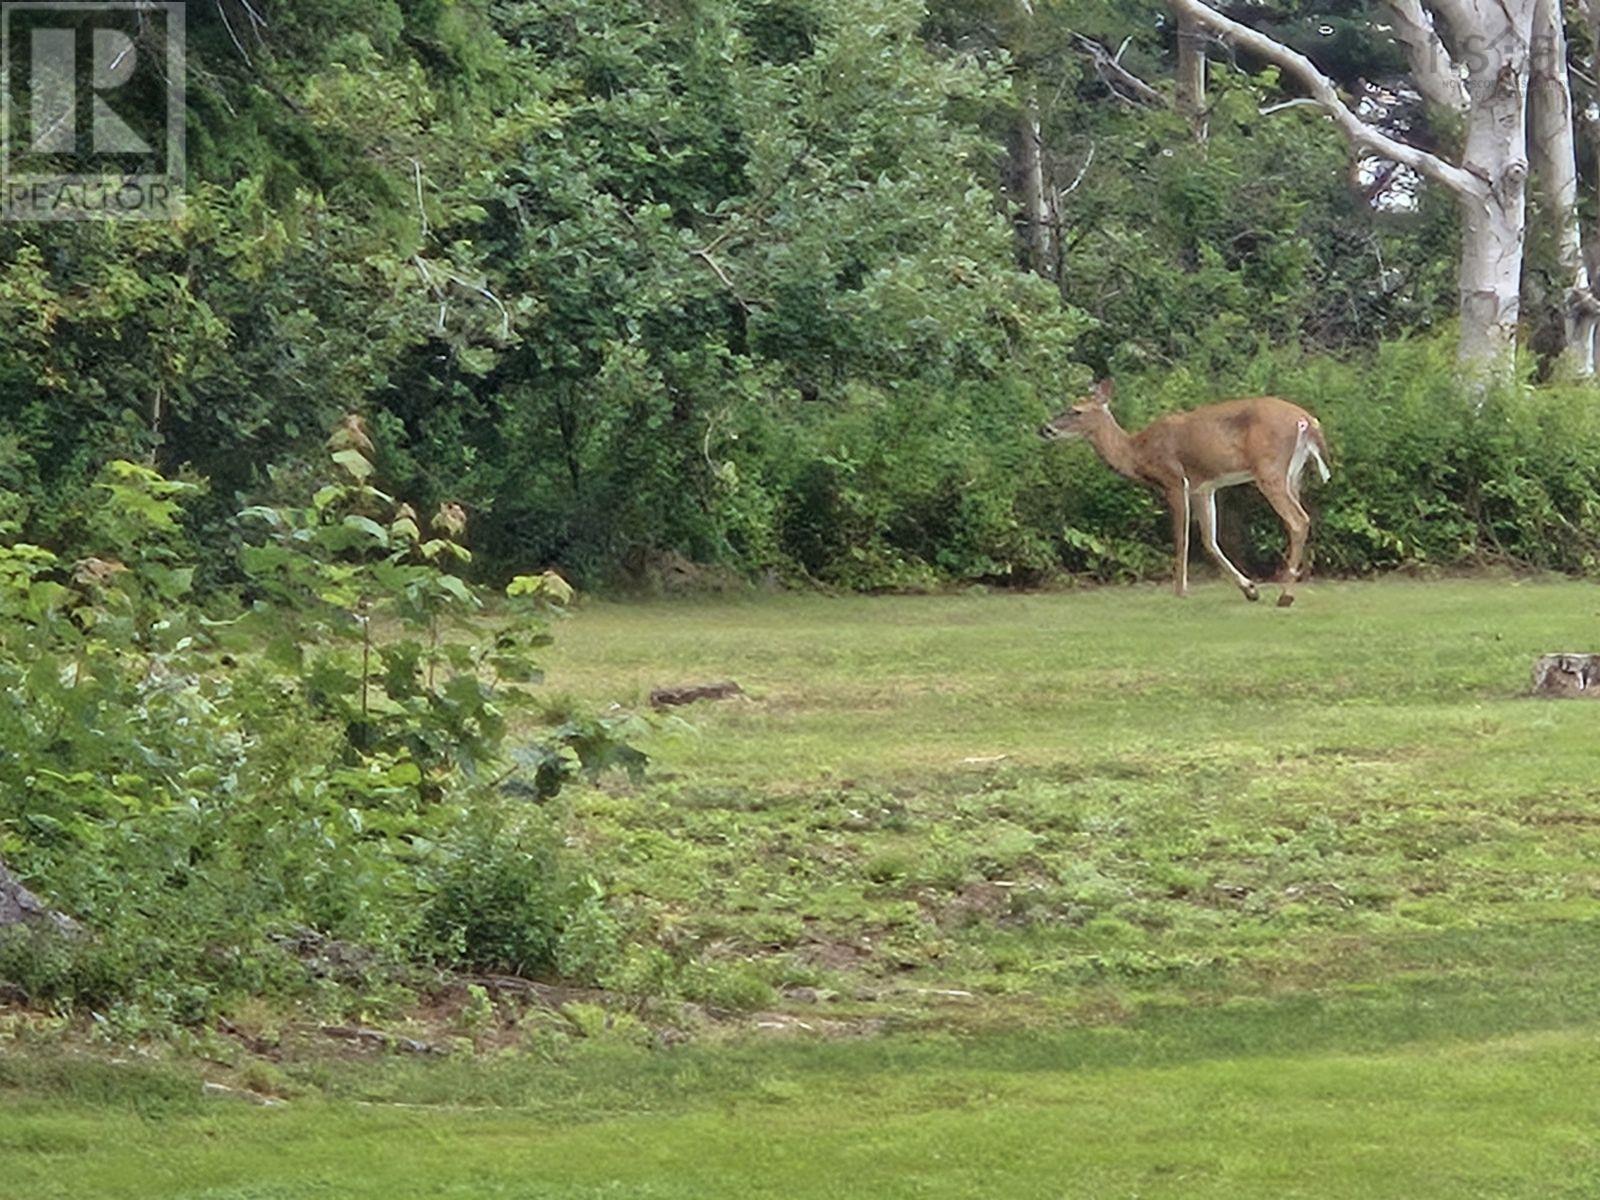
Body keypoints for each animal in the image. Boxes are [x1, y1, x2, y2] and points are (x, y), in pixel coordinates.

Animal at [1030, 382, 1331, 611]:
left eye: (1076, 410)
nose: (1045, 428)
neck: (1138, 453)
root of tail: (1308, 420)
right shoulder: (1203, 487)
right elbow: (1209, 539)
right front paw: (1250, 589)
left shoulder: (1174, 480)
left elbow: (1181, 537)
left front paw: (1180, 590)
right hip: (1293, 475)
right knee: (1300, 519)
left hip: (1270, 470)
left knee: (1298, 520)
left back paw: (1285, 595)